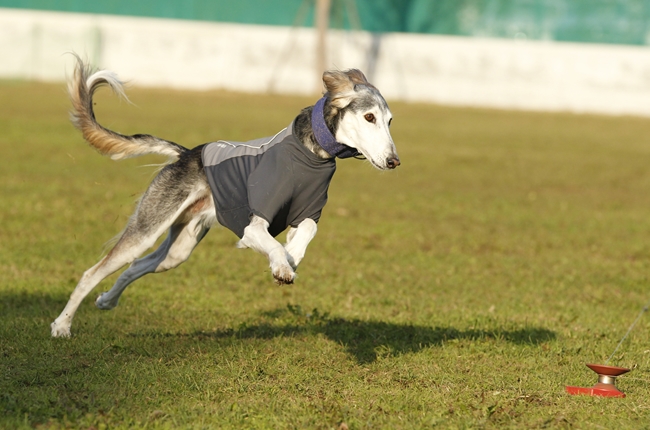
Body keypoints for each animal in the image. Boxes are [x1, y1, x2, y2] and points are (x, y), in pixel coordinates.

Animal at [50, 55, 398, 338]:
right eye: (369, 117)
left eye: (390, 120)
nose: (394, 161)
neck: (310, 154)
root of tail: (186, 154)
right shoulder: (252, 226)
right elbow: (271, 244)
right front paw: (281, 265)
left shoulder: (307, 213)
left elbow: (306, 232)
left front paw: (292, 257)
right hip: (148, 226)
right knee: (93, 272)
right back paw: (62, 325)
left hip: (179, 248)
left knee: (135, 267)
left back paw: (106, 300)